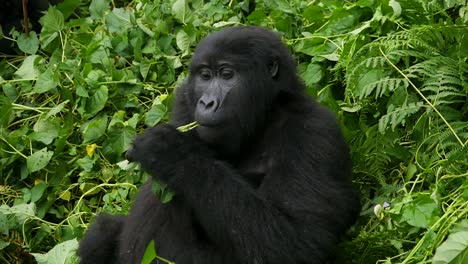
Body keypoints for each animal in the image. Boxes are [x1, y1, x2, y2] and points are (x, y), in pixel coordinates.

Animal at [78, 25, 360, 264]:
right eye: (205, 76)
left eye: (226, 75)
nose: (206, 102)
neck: (264, 118)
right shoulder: (185, 100)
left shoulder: (313, 132)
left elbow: (298, 242)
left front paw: (172, 154)